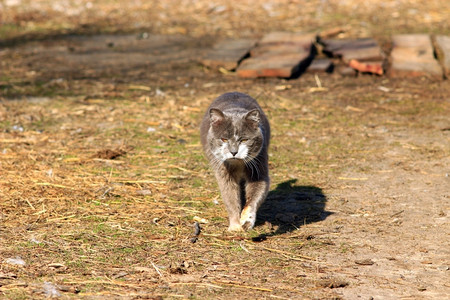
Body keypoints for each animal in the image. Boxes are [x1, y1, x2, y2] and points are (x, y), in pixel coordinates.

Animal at [201, 92, 270, 232]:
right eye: (224, 139)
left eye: (244, 140)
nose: (233, 151)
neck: (238, 164)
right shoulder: (224, 173)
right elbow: (230, 198)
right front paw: (235, 227)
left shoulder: (259, 167)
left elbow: (254, 196)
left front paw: (246, 220)